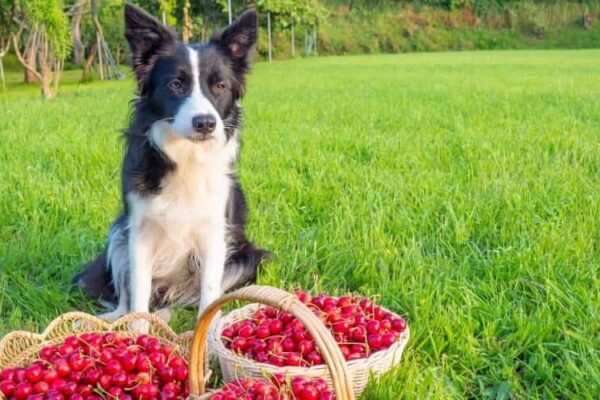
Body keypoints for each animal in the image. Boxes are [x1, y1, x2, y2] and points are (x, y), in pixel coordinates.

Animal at [72, 3, 268, 322]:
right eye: (176, 84)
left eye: (220, 86)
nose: (205, 123)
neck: (186, 155)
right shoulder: (139, 230)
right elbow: (138, 297)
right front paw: (137, 330)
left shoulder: (215, 233)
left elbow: (209, 296)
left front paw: (206, 333)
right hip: (118, 232)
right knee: (127, 296)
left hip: (247, 257)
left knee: (181, 299)